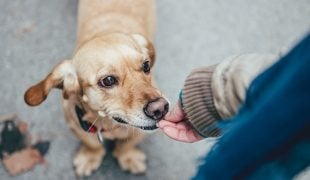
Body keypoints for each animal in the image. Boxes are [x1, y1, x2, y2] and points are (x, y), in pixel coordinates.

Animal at [23, 0, 170, 176]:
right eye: (108, 80)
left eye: (146, 65)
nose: (160, 108)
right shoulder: (76, 124)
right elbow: (92, 144)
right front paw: (90, 156)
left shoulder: (140, 132)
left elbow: (127, 144)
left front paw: (128, 157)